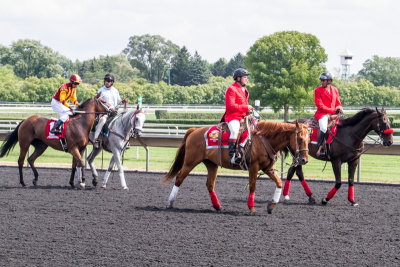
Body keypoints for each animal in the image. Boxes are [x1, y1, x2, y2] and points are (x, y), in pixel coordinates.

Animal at [162, 120, 310, 215]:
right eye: (300, 139)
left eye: (309, 139)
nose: (304, 160)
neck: (264, 139)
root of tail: (194, 131)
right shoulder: (254, 167)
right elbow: (252, 186)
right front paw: (251, 208)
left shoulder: (268, 168)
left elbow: (279, 183)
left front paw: (271, 206)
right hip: (190, 162)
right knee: (179, 178)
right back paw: (170, 203)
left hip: (211, 165)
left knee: (210, 184)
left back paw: (217, 206)